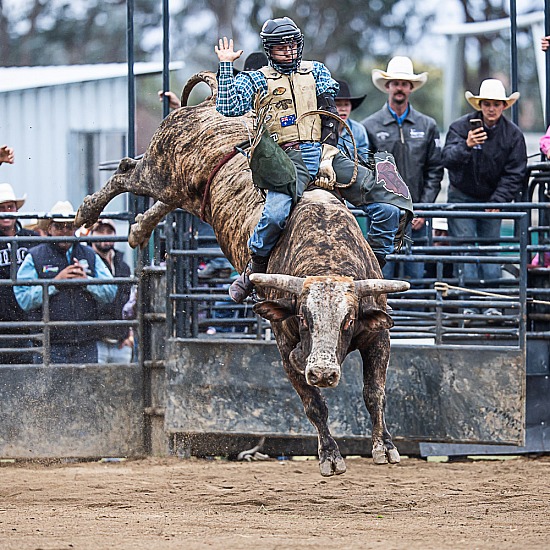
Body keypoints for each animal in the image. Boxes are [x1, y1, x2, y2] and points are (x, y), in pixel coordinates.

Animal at [76, 72, 410, 478]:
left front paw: (385, 447)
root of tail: (210, 104)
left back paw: (139, 229)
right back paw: (86, 212)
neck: (326, 255)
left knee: (165, 200)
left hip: (182, 191)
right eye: (304, 318)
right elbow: (314, 403)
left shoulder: (378, 333)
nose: (322, 372)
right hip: (161, 169)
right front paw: (330, 456)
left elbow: (374, 393)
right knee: (127, 169)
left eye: (347, 321)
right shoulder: (283, 343)